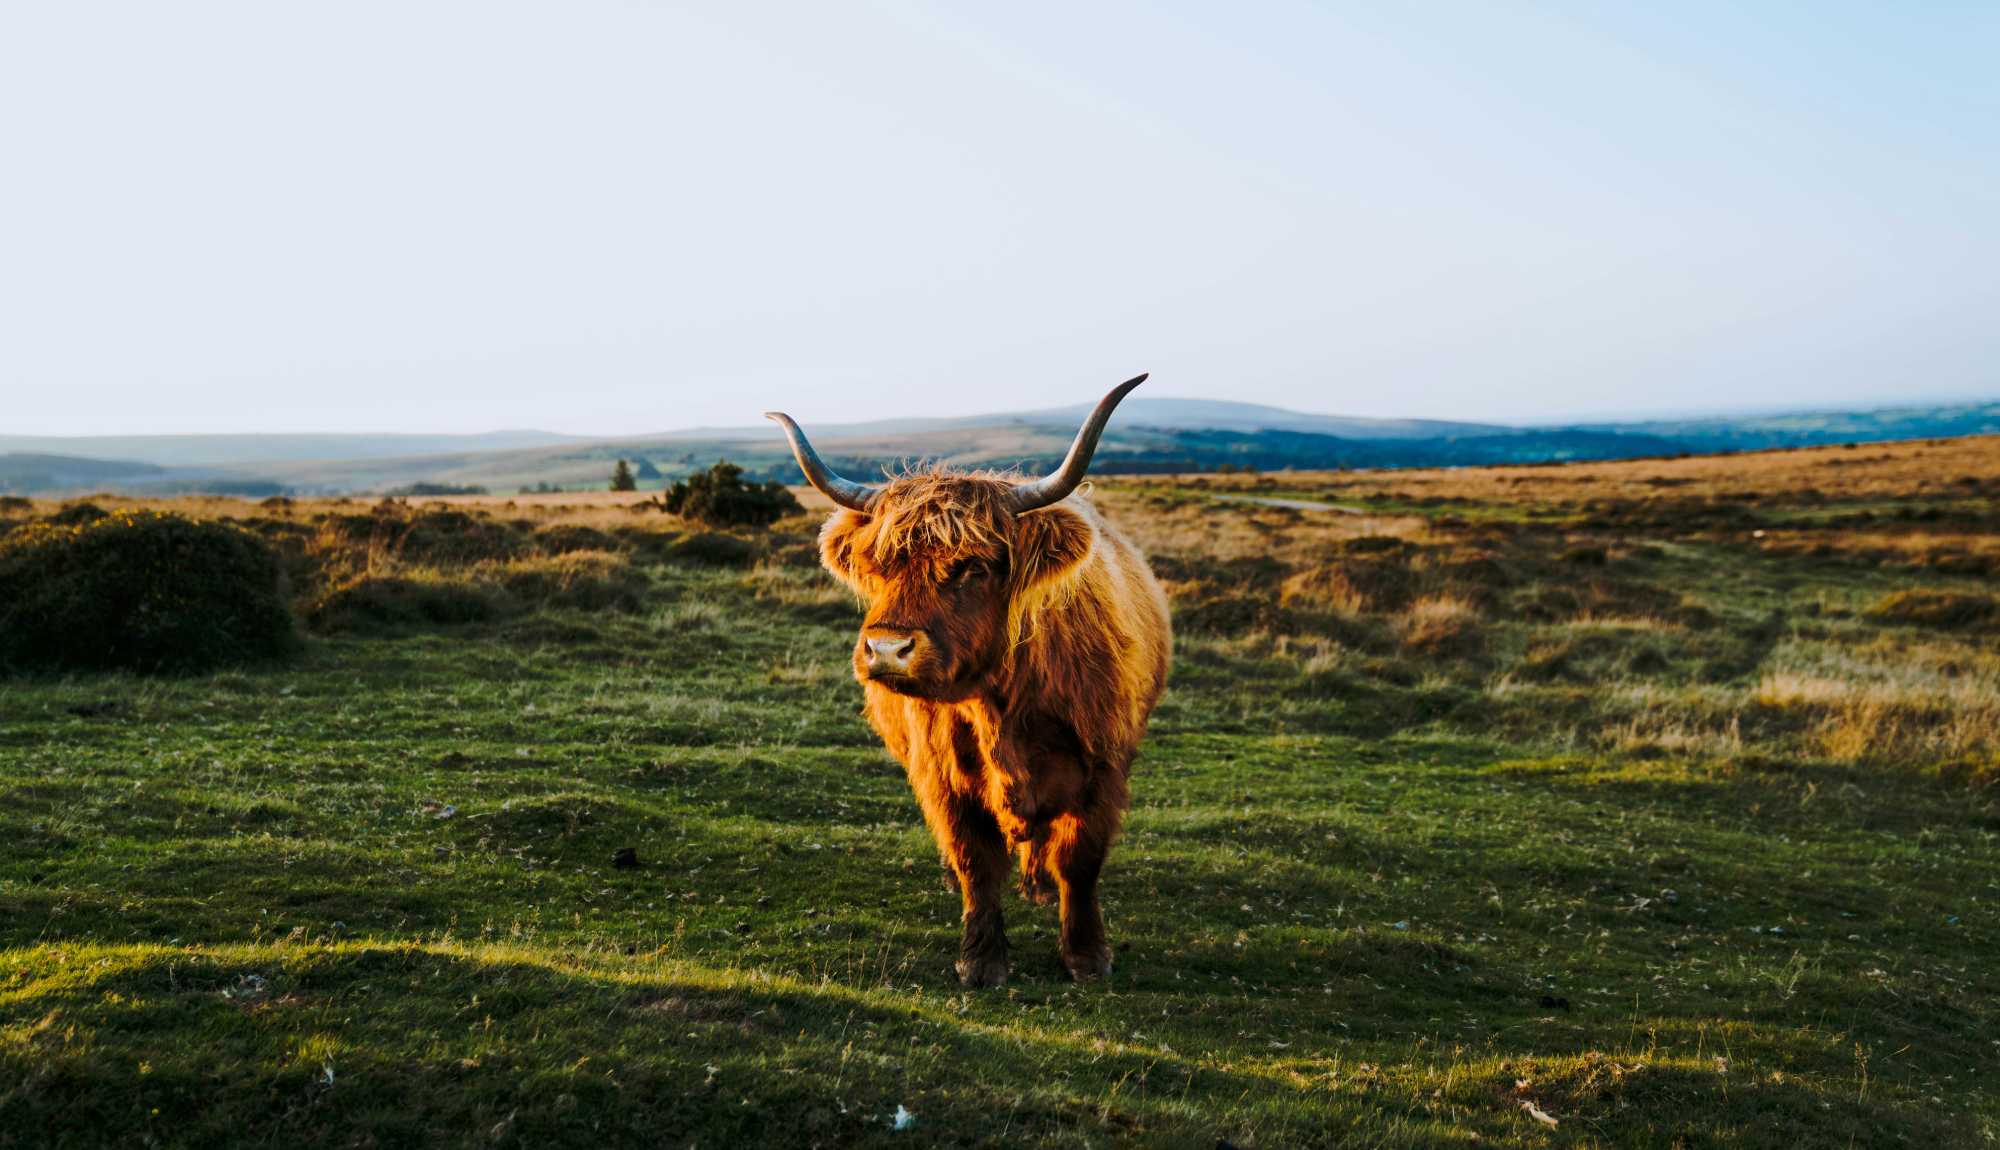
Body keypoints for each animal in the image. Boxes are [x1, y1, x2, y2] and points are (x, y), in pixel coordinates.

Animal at [766, 375, 1171, 985]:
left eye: (972, 567)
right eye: (879, 566)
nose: (887, 650)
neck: (1002, 705)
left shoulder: (1102, 770)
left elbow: (1079, 859)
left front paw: (1086, 956)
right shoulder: (942, 779)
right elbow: (975, 864)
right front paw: (981, 960)